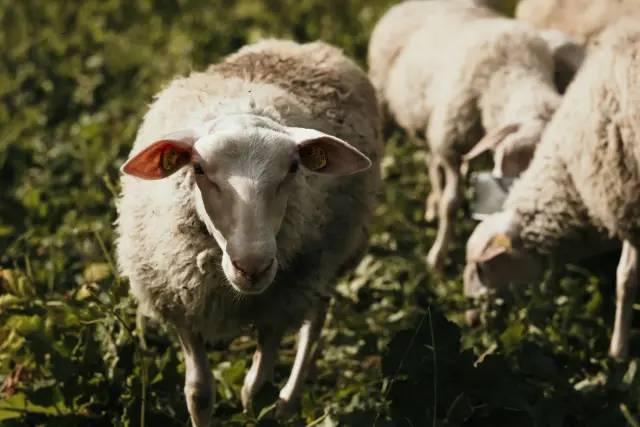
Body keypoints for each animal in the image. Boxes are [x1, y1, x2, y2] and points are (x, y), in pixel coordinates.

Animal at [114, 38, 383, 426]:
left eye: (294, 167)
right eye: (197, 168)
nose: (252, 267)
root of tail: (301, 45)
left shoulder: (280, 302)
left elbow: (254, 390)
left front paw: (263, 405)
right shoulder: (180, 301)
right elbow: (199, 393)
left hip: (328, 260)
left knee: (314, 321)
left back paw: (288, 400)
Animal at [368, 0, 582, 274]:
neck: (513, 67)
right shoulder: (451, 145)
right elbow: (451, 204)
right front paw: (437, 259)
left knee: (431, 163)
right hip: (385, 104)